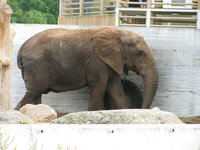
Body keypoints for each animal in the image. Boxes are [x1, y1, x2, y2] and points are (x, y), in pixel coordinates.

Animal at [15, 27, 159, 110]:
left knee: (36, 94)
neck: (119, 33)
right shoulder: (96, 62)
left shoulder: (109, 62)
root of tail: (21, 50)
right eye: (140, 53)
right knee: (33, 92)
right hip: (37, 66)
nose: (142, 108)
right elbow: (100, 86)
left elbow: (115, 88)